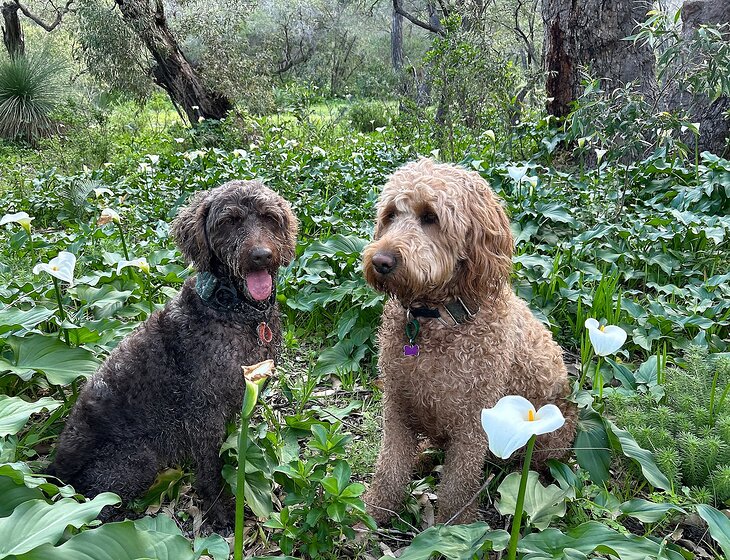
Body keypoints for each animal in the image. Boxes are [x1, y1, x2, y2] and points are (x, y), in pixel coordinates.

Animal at [50, 180, 298, 524]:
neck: (233, 310)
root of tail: (54, 475)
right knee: (95, 511)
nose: (261, 256)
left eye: (269, 217)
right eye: (228, 222)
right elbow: (210, 468)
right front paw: (219, 508)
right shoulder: (204, 413)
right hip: (135, 462)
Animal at [361, 159, 576, 524]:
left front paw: (454, 528)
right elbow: (389, 467)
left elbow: (457, 485)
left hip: (547, 438)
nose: (380, 261)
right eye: (390, 215)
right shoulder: (397, 405)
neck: (433, 319)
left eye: (430, 217)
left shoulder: (474, 422)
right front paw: (373, 512)